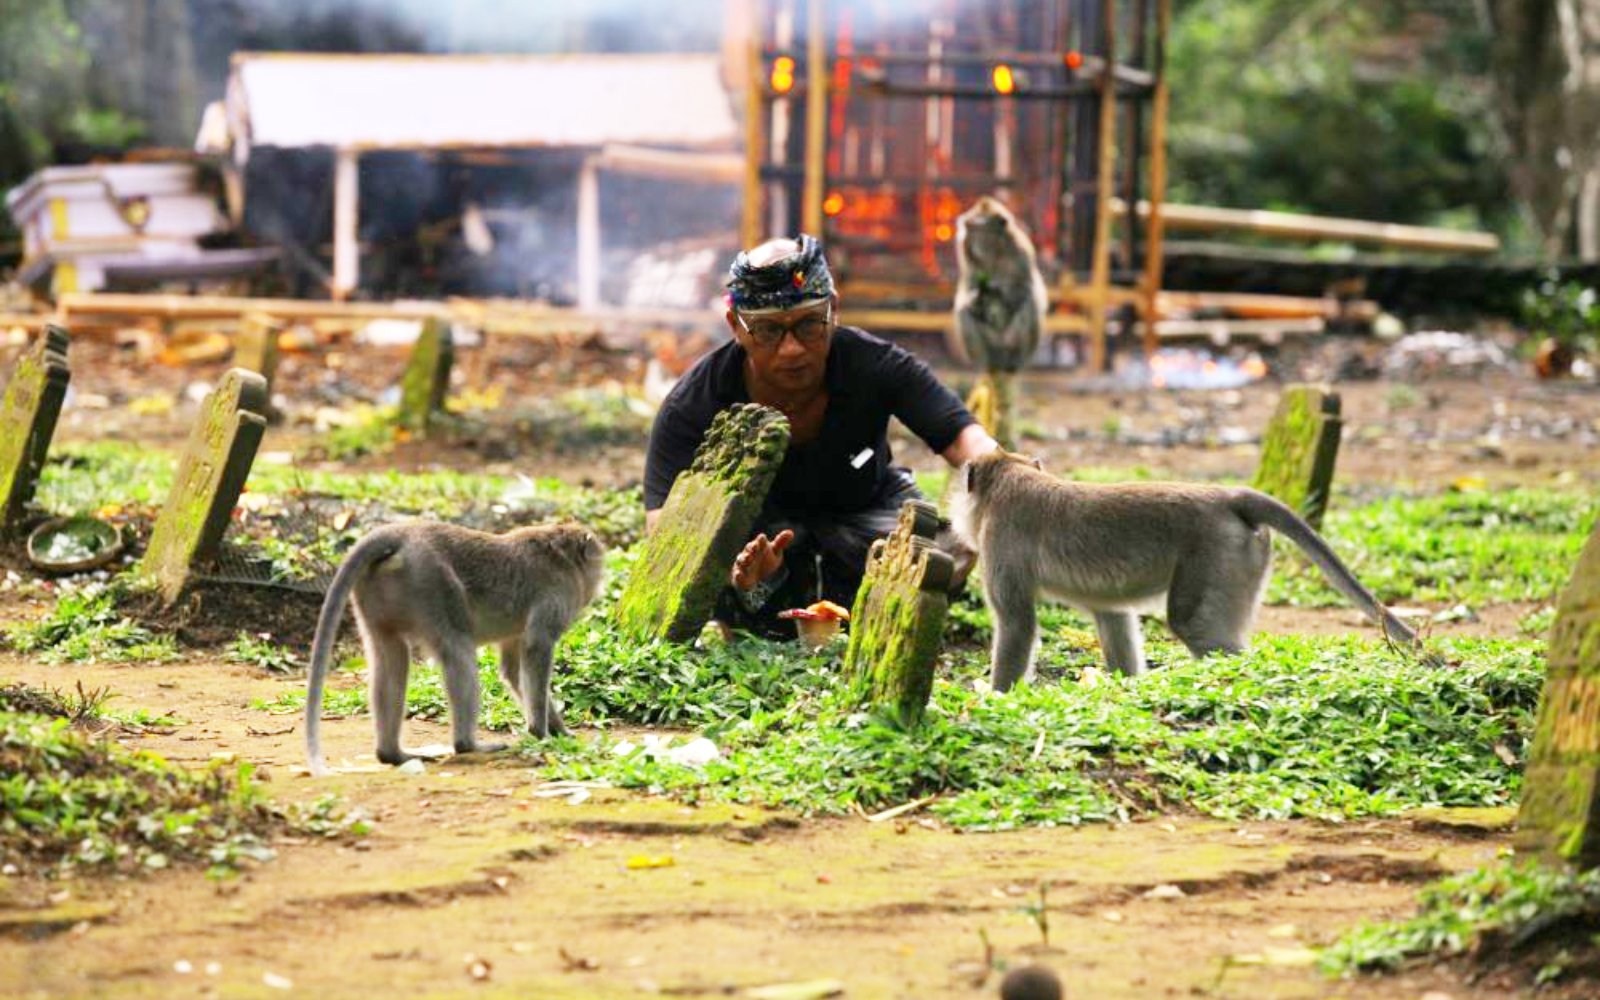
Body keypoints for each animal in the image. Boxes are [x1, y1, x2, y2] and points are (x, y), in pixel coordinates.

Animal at [304, 521, 605, 775]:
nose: (596, 586)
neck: (562, 557)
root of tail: (401, 532)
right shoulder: (557, 595)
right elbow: (537, 647)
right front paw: (541, 732)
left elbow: (513, 669)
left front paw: (558, 730)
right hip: (429, 578)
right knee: (458, 649)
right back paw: (467, 745)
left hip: (377, 591)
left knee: (391, 655)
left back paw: (391, 754)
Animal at [948, 450, 1422, 691]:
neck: (1008, 480)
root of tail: (1227, 497)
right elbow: (1114, 616)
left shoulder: (1001, 541)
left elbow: (1017, 623)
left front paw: (995, 696)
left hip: (1218, 555)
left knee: (1193, 624)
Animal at [950, 194, 1049, 373]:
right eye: (968, 228)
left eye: (975, 229)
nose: (965, 239)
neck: (994, 255)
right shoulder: (967, 262)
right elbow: (967, 292)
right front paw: (977, 298)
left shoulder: (1022, 252)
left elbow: (1028, 287)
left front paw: (996, 293)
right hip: (991, 344)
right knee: (963, 311)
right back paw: (988, 364)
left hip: (1017, 345)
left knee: (1029, 301)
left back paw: (1013, 360)